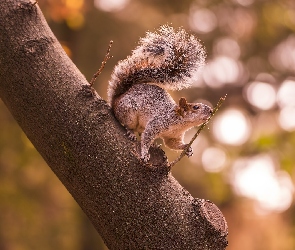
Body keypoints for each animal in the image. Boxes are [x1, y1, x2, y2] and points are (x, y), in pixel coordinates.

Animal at [108, 25, 213, 162]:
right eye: (196, 107)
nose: (211, 111)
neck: (180, 124)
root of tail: (117, 98)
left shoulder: (173, 137)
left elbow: (172, 144)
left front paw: (187, 148)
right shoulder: (156, 123)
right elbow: (146, 138)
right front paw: (145, 153)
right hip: (128, 112)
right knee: (127, 123)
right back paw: (131, 132)